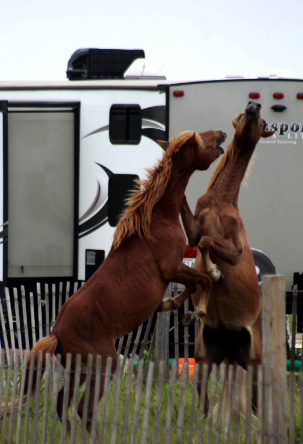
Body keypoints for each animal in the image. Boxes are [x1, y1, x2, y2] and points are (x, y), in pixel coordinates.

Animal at [1, 129, 227, 430]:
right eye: (199, 139)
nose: (222, 135)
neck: (157, 220)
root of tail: (56, 332)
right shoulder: (173, 268)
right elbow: (202, 281)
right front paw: (198, 308)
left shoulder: (175, 271)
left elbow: (193, 285)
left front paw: (172, 306)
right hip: (104, 365)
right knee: (83, 409)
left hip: (78, 370)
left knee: (63, 405)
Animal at [163, 102, 276, 414]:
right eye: (242, 114)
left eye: (263, 122)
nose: (253, 106)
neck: (220, 203)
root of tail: (230, 351)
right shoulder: (193, 231)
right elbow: (198, 240)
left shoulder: (235, 250)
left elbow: (207, 244)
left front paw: (214, 272)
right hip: (204, 361)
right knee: (203, 406)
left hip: (254, 365)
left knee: (255, 409)